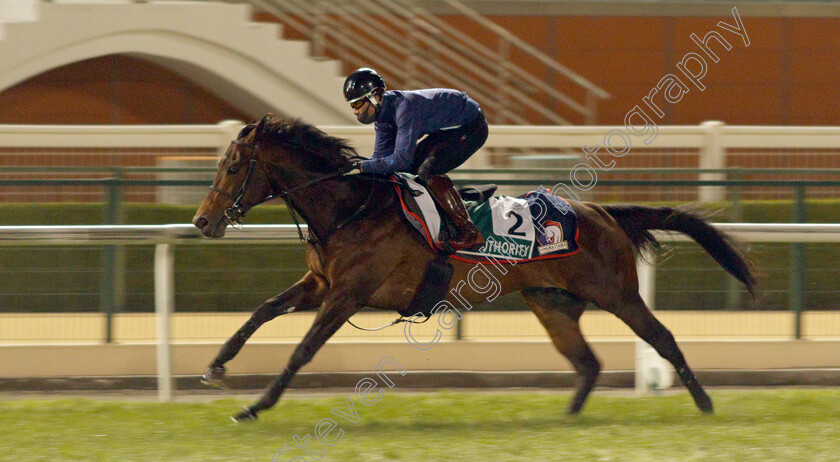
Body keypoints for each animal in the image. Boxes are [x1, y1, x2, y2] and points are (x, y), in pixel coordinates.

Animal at [192, 114, 756, 422]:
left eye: (234, 167)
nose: (201, 221)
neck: (350, 207)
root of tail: (602, 212)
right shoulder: (319, 283)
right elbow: (262, 311)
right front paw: (217, 366)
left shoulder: (347, 293)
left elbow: (302, 350)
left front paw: (254, 406)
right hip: (551, 304)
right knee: (588, 363)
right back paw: (567, 420)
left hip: (617, 294)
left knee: (663, 339)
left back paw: (705, 404)